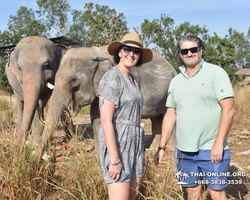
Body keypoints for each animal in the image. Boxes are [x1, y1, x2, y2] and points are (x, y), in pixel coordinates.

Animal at [36, 45, 178, 159]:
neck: (95, 52)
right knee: (157, 118)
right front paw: (99, 153)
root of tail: (174, 68)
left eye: (73, 80)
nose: (42, 158)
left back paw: (171, 149)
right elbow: (97, 117)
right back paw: (153, 147)